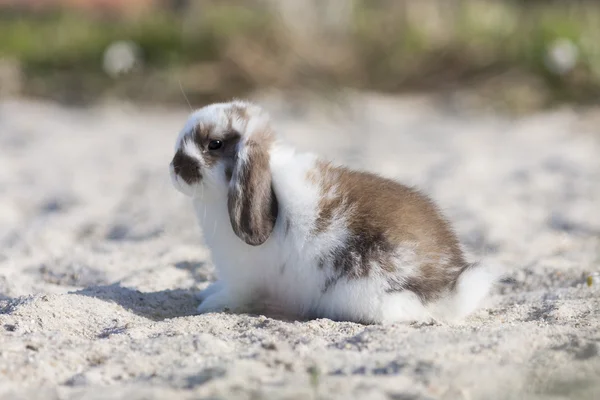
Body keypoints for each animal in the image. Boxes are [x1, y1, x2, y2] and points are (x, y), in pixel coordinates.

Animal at [170, 101, 502, 324]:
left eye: (214, 144)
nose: (174, 169)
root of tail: (449, 285)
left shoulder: (243, 277)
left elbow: (235, 295)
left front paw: (209, 304)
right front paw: (205, 293)